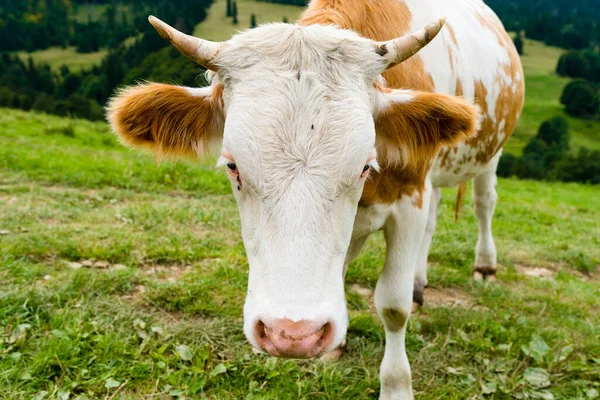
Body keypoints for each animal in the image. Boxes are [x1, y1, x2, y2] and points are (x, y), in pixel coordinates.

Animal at [108, 0, 524, 396]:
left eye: (364, 166)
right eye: (232, 165)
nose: (291, 335)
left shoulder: (410, 197)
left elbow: (393, 305)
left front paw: (396, 386)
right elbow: (340, 268)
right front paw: (335, 344)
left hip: (490, 154)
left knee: (484, 202)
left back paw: (484, 266)